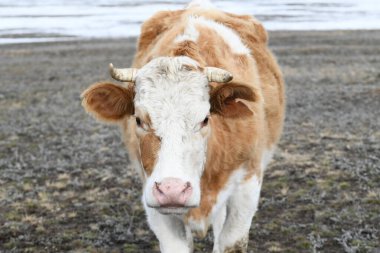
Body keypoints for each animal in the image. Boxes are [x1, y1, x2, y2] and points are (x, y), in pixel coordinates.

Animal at [80, 0, 284, 252]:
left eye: (205, 118)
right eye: (138, 120)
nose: (172, 191)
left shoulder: (247, 185)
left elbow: (230, 240)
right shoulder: (152, 198)